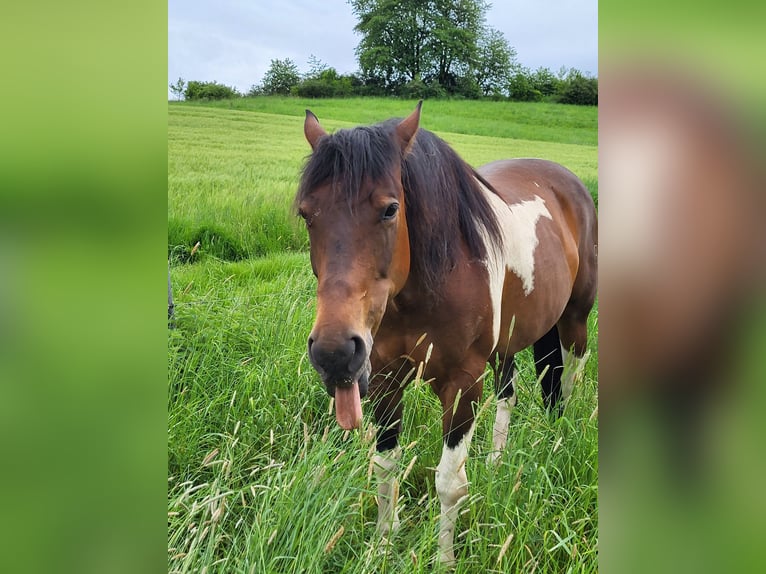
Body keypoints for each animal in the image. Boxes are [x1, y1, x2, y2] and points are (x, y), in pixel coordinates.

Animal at [295, 102, 597, 566]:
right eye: (306, 213)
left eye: (390, 209)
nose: (334, 353)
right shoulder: (384, 379)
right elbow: (386, 468)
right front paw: (383, 544)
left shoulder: (461, 384)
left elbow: (449, 483)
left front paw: (444, 559)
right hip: (510, 340)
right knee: (510, 393)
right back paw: (497, 461)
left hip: (575, 319)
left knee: (569, 380)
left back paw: (560, 440)